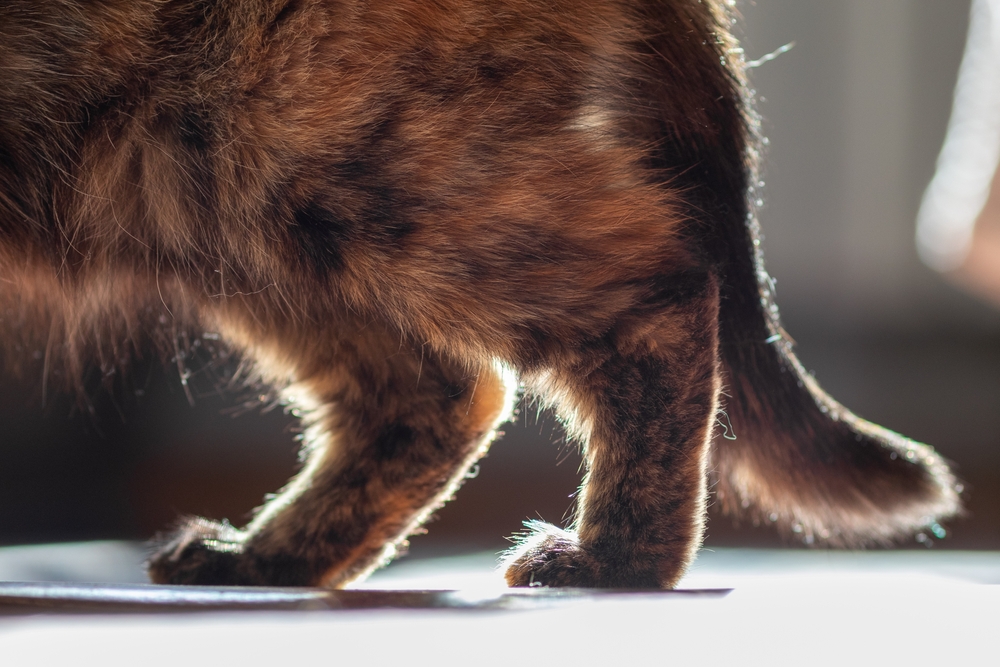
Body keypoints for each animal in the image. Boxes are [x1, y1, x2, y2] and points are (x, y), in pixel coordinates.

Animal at [1, 0, 960, 588]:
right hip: (217, 209)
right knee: (442, 389)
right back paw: (264, 561)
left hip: (299, 154)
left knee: (658, 296)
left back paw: (616, 559)